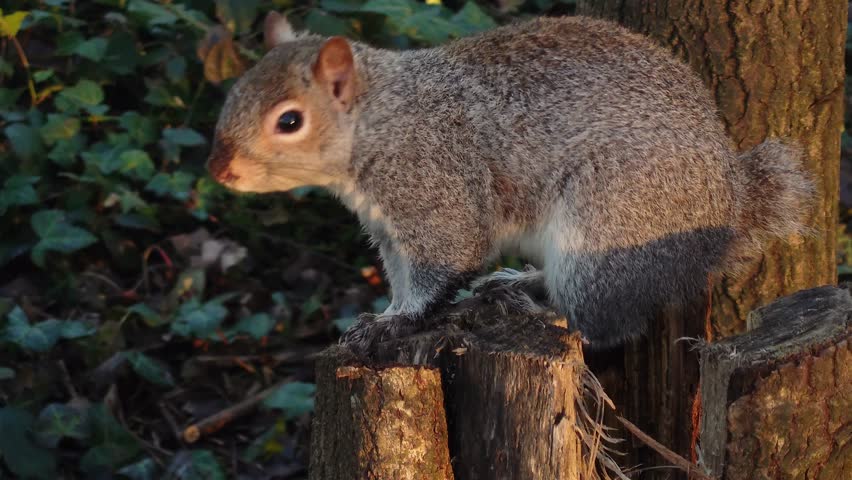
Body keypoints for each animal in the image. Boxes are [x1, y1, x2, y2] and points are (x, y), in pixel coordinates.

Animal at [208, 12, 814, 351]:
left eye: (289, 121)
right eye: (235, 89)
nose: (219, 168)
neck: (383, 118)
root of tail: (728, 205)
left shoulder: (432, 185)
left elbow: (444, 261)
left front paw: (396, 323)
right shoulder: (387, 227)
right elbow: (402, 276)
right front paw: (385, 313)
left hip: (610, 225)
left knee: (607, 325)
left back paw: (555, 316)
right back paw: (518, 284)